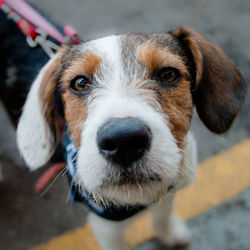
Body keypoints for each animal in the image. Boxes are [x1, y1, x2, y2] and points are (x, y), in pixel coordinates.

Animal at [15, 23, 246, 250]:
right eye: (80, 82)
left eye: (168, 74)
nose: (123, 141)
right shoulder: (106, 226)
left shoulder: (169, 189)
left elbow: (163, 214)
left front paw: (168, 233)